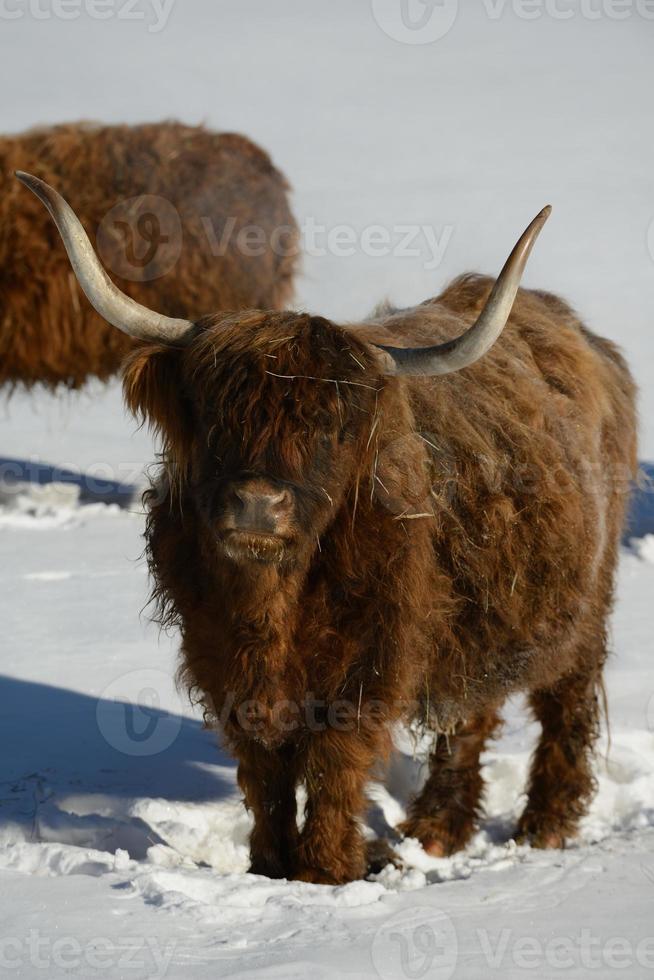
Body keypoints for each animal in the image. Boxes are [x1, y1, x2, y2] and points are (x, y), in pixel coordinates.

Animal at [21, 170, 640, 888]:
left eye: (330, 426)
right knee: (469, 713)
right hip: (473, 618)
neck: (272, 607)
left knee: (564, 703)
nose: (258, 505)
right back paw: (436, 831)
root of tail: (581, 335)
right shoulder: (222, 662)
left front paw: (324, 871)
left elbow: (334, 761)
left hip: (584, 603)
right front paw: (269, 866)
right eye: (214, 414)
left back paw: (544, 826)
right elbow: (263, 772)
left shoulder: (370, 661)